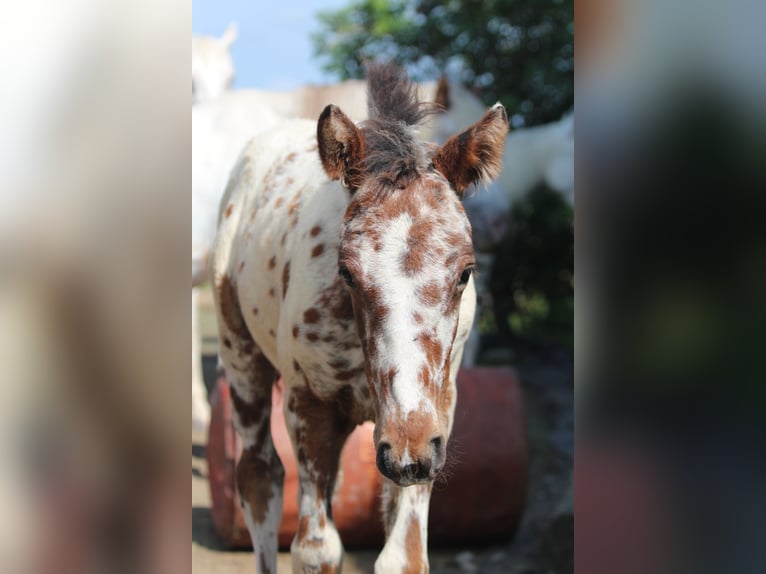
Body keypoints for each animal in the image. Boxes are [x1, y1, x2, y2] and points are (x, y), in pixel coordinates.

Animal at [210, 64, 510, 574]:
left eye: (465, 272)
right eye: (347, 271)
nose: (409, 452)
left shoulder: (437, 414)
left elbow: (403, 556)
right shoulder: (309, 406)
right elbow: (316, 549)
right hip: (241, 359)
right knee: (259, 477)